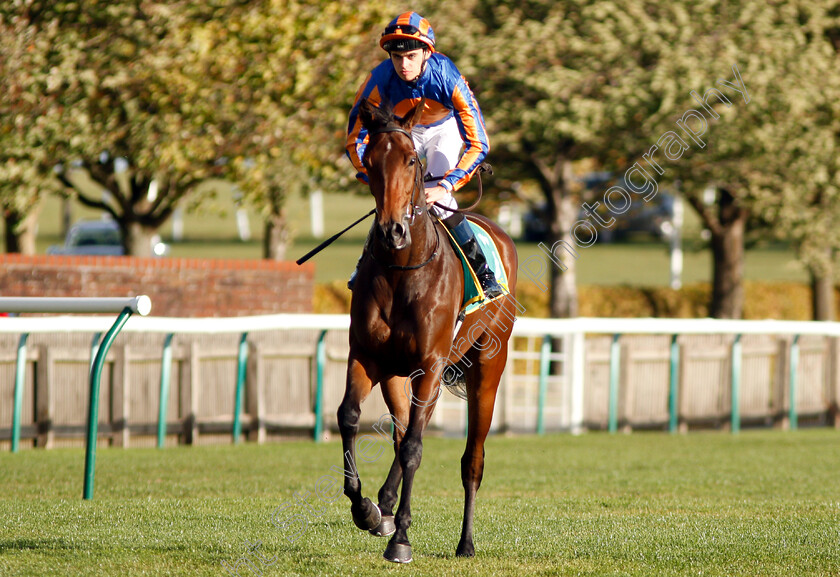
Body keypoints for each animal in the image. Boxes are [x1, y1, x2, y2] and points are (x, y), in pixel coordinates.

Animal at [334, 97, 520, 560]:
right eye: (369, 162)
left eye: (412, 160)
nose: (392, 231)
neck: (402, 271)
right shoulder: (367, 356)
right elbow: (350, 417)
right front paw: (366, 508)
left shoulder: (433, 362)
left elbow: (417, 448)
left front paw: (400, 538)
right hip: (402, 376)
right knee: (402, 432)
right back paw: (383, 505)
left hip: (486, 367)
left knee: (472, 459)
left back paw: (465, 542)